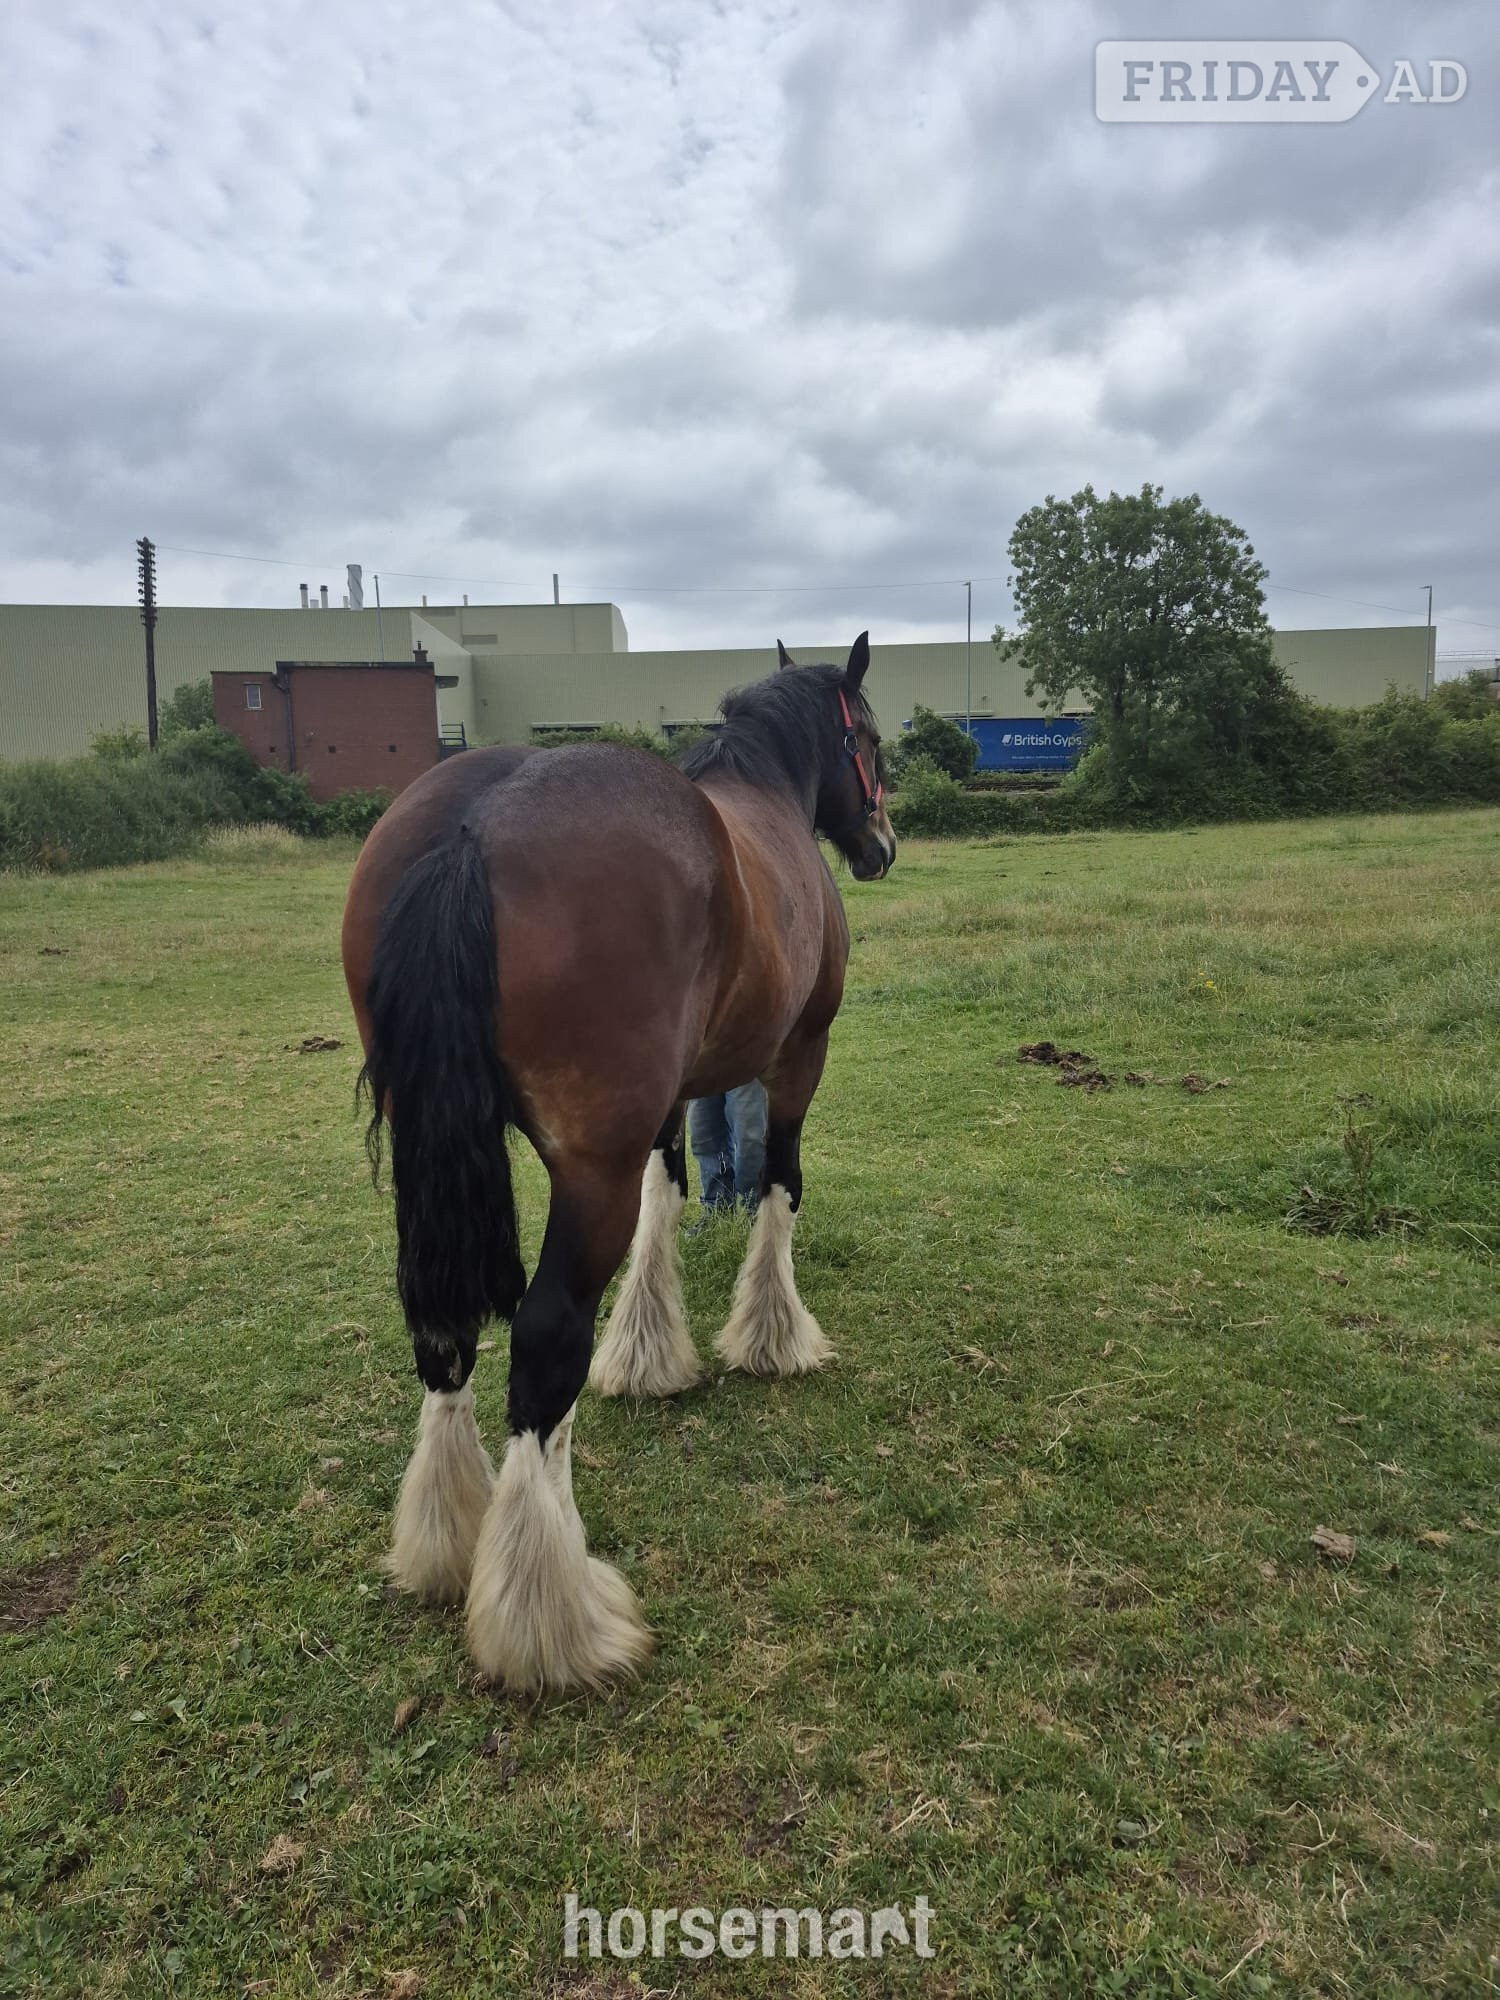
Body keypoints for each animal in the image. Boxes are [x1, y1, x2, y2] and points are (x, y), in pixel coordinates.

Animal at [340, 633, 895, 1695]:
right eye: (874, 740)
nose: (883, 843)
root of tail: (472, 828)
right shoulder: (801, 1055)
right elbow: (779, 1186)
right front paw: (772, 1336)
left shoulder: (670, 1100)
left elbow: (667, 1195)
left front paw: (646, 1355)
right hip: (586, 1167)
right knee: (541, 1346)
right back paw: (548, 1616)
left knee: (443, 1330)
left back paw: (450, 1540)